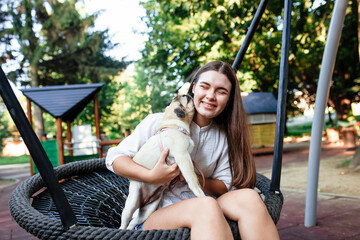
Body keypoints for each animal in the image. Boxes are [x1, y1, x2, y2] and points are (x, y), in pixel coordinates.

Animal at [120, 93, 205, 229]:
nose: (190, 94)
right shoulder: (182, 156)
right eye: (186, 98)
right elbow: (192, 177)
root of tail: (144, 201)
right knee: (124, 223)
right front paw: (199, 192)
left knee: (133, 223)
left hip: (149, 209)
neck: (175, 125)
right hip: (131, 203)